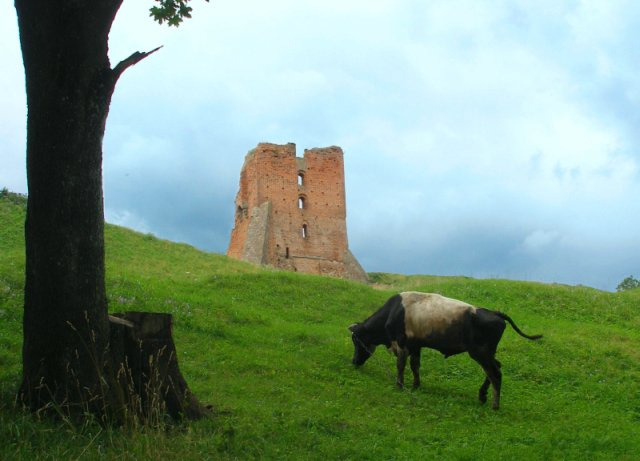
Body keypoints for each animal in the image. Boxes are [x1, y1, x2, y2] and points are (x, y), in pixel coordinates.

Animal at [348, 292, 542, 409]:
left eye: (356, 341)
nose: (354, 362)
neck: (394, 311)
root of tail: (494, 313)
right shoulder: (416, 345)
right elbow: (415, 366)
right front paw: (416, 385)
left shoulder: (402, 343)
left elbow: (401, 365)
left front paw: (400, 385)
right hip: (487, 353)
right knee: (496, 368)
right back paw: (482, 395)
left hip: (480, 353)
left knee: (495, 374)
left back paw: (494, 405)